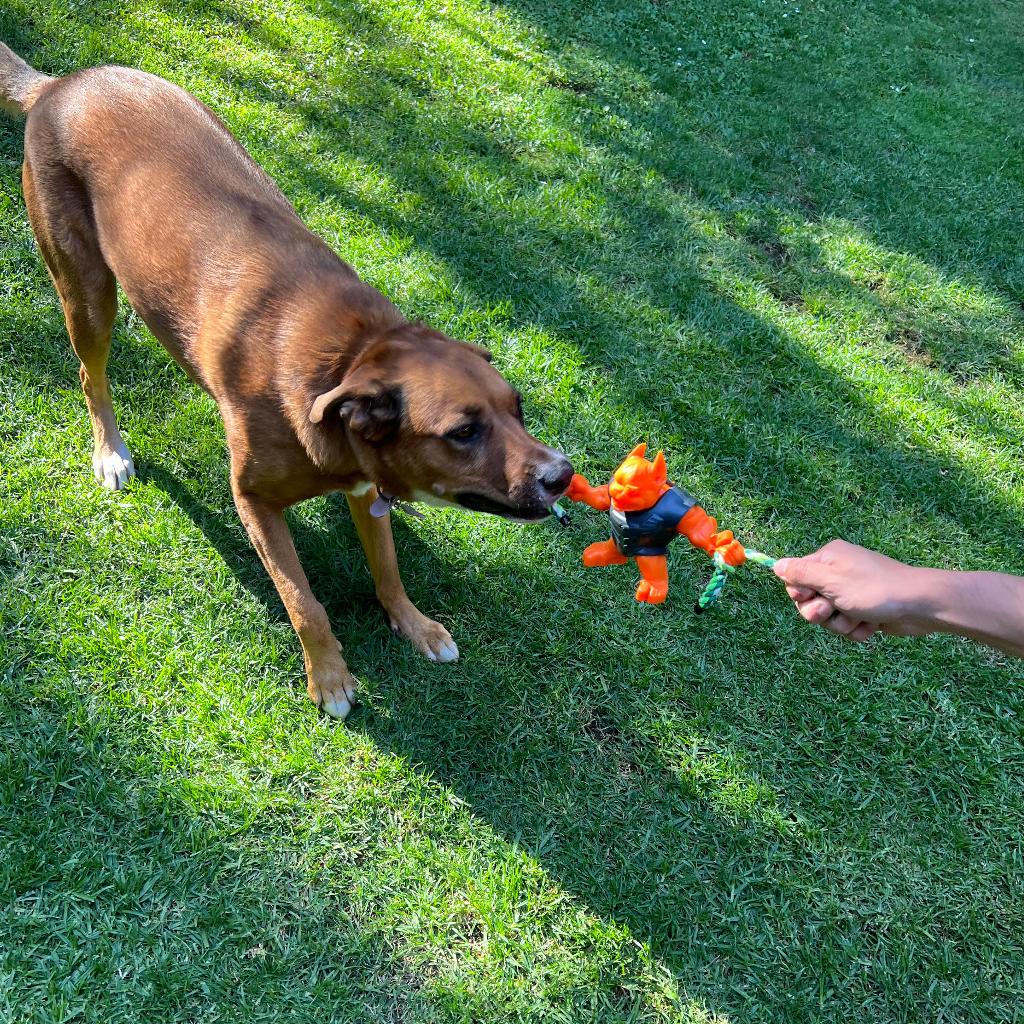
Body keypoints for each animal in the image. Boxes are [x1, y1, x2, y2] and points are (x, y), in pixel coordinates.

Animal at [4, 44, 573, 716]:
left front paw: (414, 624)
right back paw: (110, 452)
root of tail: (56, 86)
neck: (346, 362)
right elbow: (305, 602)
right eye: (463, 432)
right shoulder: (255, 502)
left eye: (519, 409)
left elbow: (388, 569)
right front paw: (329, 678)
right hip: (88, 294)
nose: (563, 475)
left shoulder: (366, 489)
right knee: (92, 377)